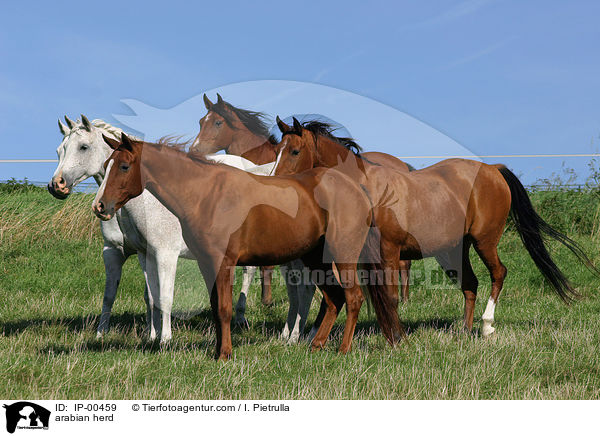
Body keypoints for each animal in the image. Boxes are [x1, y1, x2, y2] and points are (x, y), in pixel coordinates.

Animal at [92, 134, 404, 362]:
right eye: (106, 164)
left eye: (124, 166)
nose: (100, 206)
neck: (207, 194)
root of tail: (356, 189)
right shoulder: (207, 264)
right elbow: (216, 307)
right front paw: (218, 351)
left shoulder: (224, 262)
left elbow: (225, 308)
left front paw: (225, 354)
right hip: (316, 258)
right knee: (334, 298)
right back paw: (315, 346)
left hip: (342, 256)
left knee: (353, 298)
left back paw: (342, 350)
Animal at [274, 117, 596, 336]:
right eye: (277, 149)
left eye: (294, 151)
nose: (277, 186)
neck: (365, 189)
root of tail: (492, 170)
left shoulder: (388, 252)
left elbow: (389, 296)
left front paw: (394, 335)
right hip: (455, 249)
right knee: (471, 284)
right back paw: (464, 331)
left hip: (485, 241)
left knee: (498, 274)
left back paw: (486, 326)